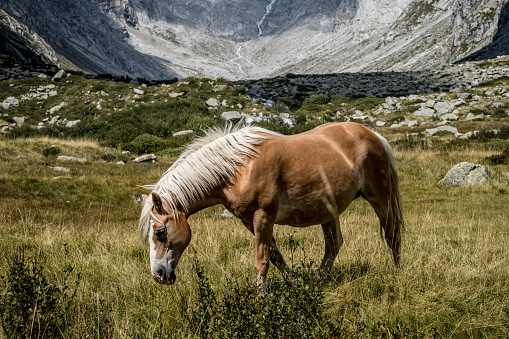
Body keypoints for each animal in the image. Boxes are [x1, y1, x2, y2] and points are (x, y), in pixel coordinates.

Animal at [137, 122, 402, 286]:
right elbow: (275, 255)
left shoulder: (264, 216)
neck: (238, 168)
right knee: (334, 244)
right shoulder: (249, 221)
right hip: (328, 210)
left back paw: (397, 273)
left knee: (392, 234)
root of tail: (374, 136)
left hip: (381, 199)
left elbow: (262, 259)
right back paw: (319, 280)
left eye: (160, 232)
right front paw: (295, 283)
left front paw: (261, 300)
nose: (159, 275)